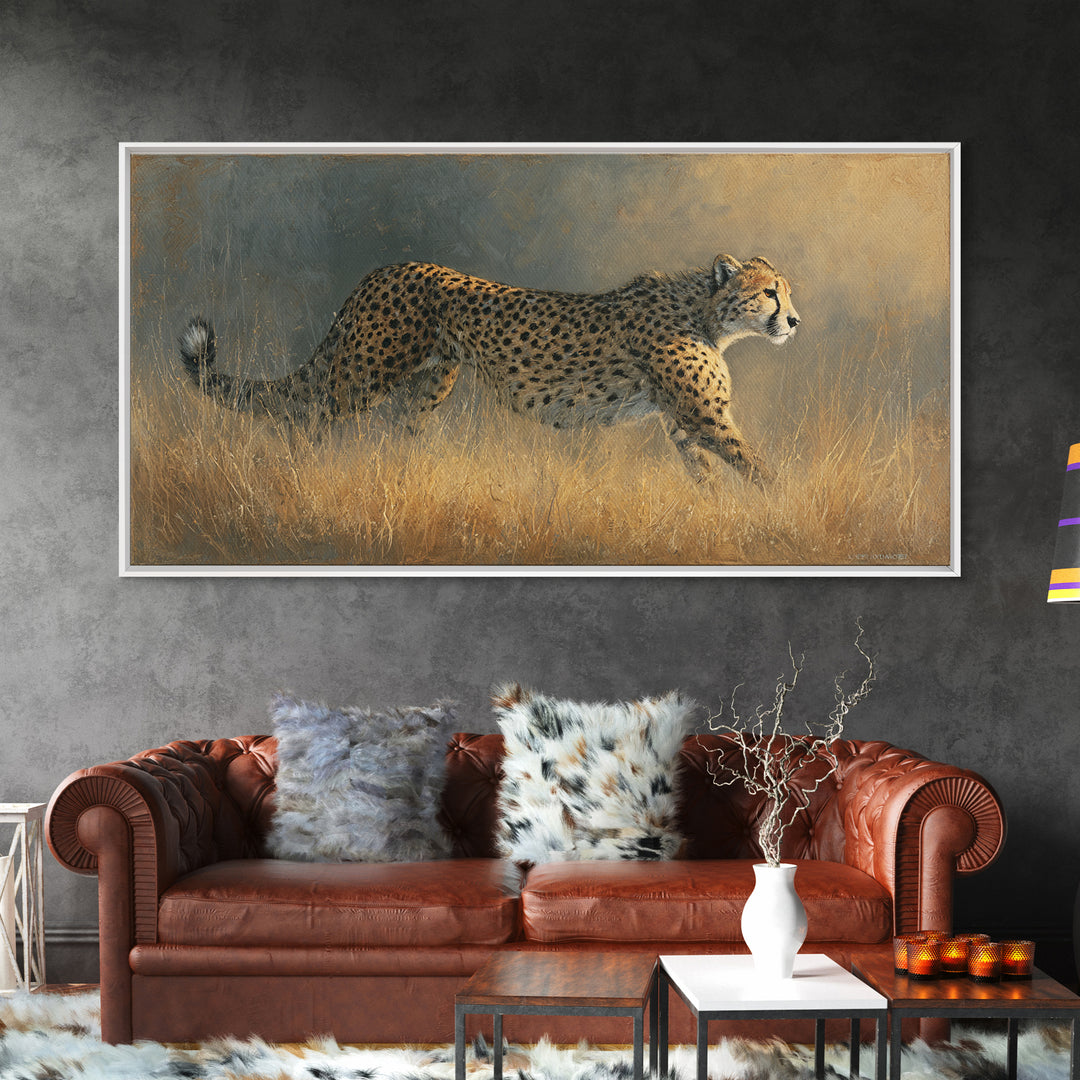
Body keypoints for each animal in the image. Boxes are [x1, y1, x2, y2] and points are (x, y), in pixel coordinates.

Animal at [177, 254, 800, 484]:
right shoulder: (704, 416)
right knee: (302, 417)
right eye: (770, 292)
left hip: (429, 385)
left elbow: (708, 475)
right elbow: (757, 469)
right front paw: (781, 514)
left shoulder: (684, 421)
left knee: (398, 434)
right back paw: (295, 479)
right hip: (360, 375)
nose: (794, 321)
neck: (706, 312)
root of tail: (385, 268)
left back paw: (410, 481)